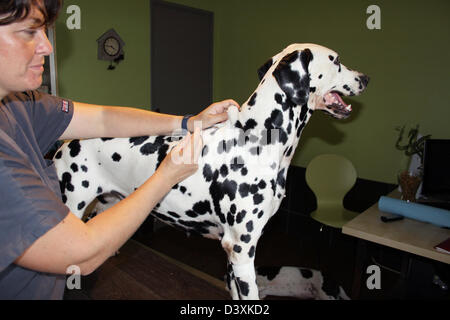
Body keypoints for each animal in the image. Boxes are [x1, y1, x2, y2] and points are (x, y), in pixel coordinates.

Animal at [53, 43, 370, 300]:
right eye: (336, 60)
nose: (366, 78)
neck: (256, 138)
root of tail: (65, 143)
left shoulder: (234, 258)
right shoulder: (241, 250)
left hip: (108, 207)